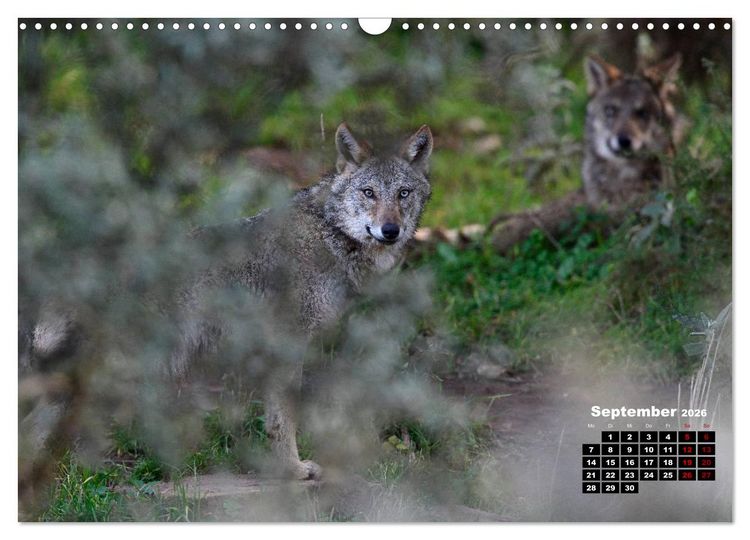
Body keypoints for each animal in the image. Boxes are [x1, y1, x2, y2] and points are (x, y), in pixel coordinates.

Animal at [169, 123, 434, 480]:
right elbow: (284, 417)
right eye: (369, 193)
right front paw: (293, 469)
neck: (330, 235)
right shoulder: (289, 342)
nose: (390, 230)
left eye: (403, 193)